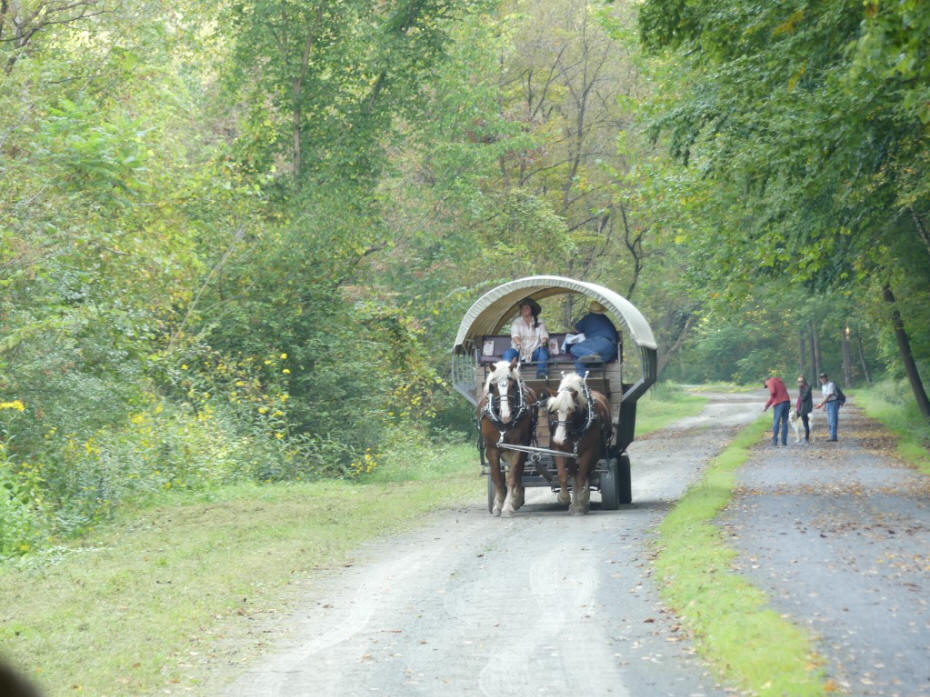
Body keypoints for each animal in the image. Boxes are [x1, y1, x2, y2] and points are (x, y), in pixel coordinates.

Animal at [478, 358, 536, 516]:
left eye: (513, 385)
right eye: (492, 386)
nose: (506, 416)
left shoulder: (519, 447)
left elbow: (512, 477)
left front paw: (508, 505)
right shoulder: (492, 449)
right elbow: (497, 478)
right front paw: (498, 504)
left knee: (518, 472)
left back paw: (516, 498)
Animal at [544, 372, 608, 512]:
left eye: (572, 410)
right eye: (554, 411)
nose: (559, 438)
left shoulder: (589, 451)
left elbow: (582, 477)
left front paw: (580, 503)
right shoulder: (558, 449)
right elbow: (563, 474)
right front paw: (564, 498)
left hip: (595, 454)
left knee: (587, 474)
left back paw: (582, 501)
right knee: (573, 474)